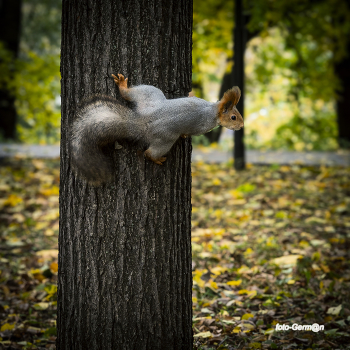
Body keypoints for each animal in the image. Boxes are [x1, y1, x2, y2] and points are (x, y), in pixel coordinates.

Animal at [69, 74, 242, 186]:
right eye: (234, 117)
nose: (241, 126)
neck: (211, 110)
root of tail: (142, 121)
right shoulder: (201, 126)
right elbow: (190, 131)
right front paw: (184, 135)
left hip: (148, 95)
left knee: (129, 94)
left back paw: (123, 87)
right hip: (165, 139)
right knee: (149, 153)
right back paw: (157, 159)